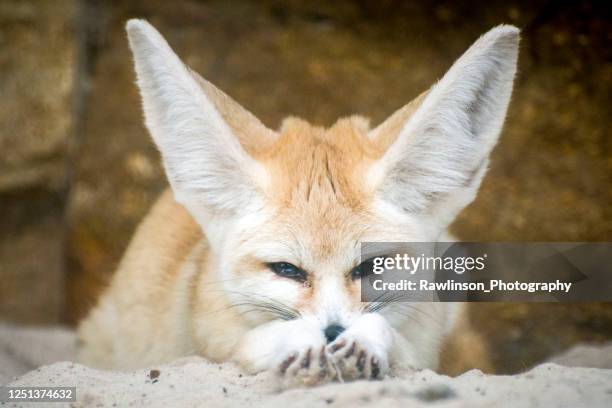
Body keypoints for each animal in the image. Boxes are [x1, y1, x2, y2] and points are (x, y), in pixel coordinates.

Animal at [75, 19, 516, 386]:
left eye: (371, 266)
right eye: (286, 269)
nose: (333, 333)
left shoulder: (426, 346)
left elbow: (397, 340)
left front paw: (364, 342)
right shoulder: (209, 340)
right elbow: (253, 341)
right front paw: (297, 341)